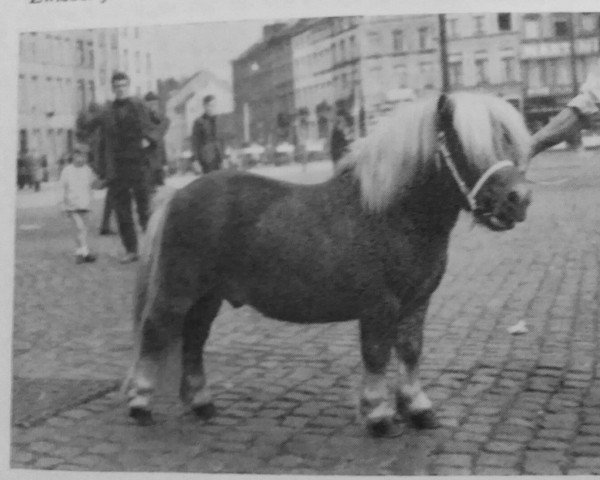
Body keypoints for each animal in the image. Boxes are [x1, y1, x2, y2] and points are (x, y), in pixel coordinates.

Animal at [124, 92, 532, 436]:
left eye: (509, 141)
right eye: (466, 146)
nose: (519, 199)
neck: (391, 214)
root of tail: (177, 193)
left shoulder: (417, 302)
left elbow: (411, 349)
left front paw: (417, 407)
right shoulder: (379, 305)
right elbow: (377, 354)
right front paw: (378, 414)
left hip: (208, 297)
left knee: (193, 340)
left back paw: (202, 404)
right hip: (177, 291)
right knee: (156, 331)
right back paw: (140, 405)